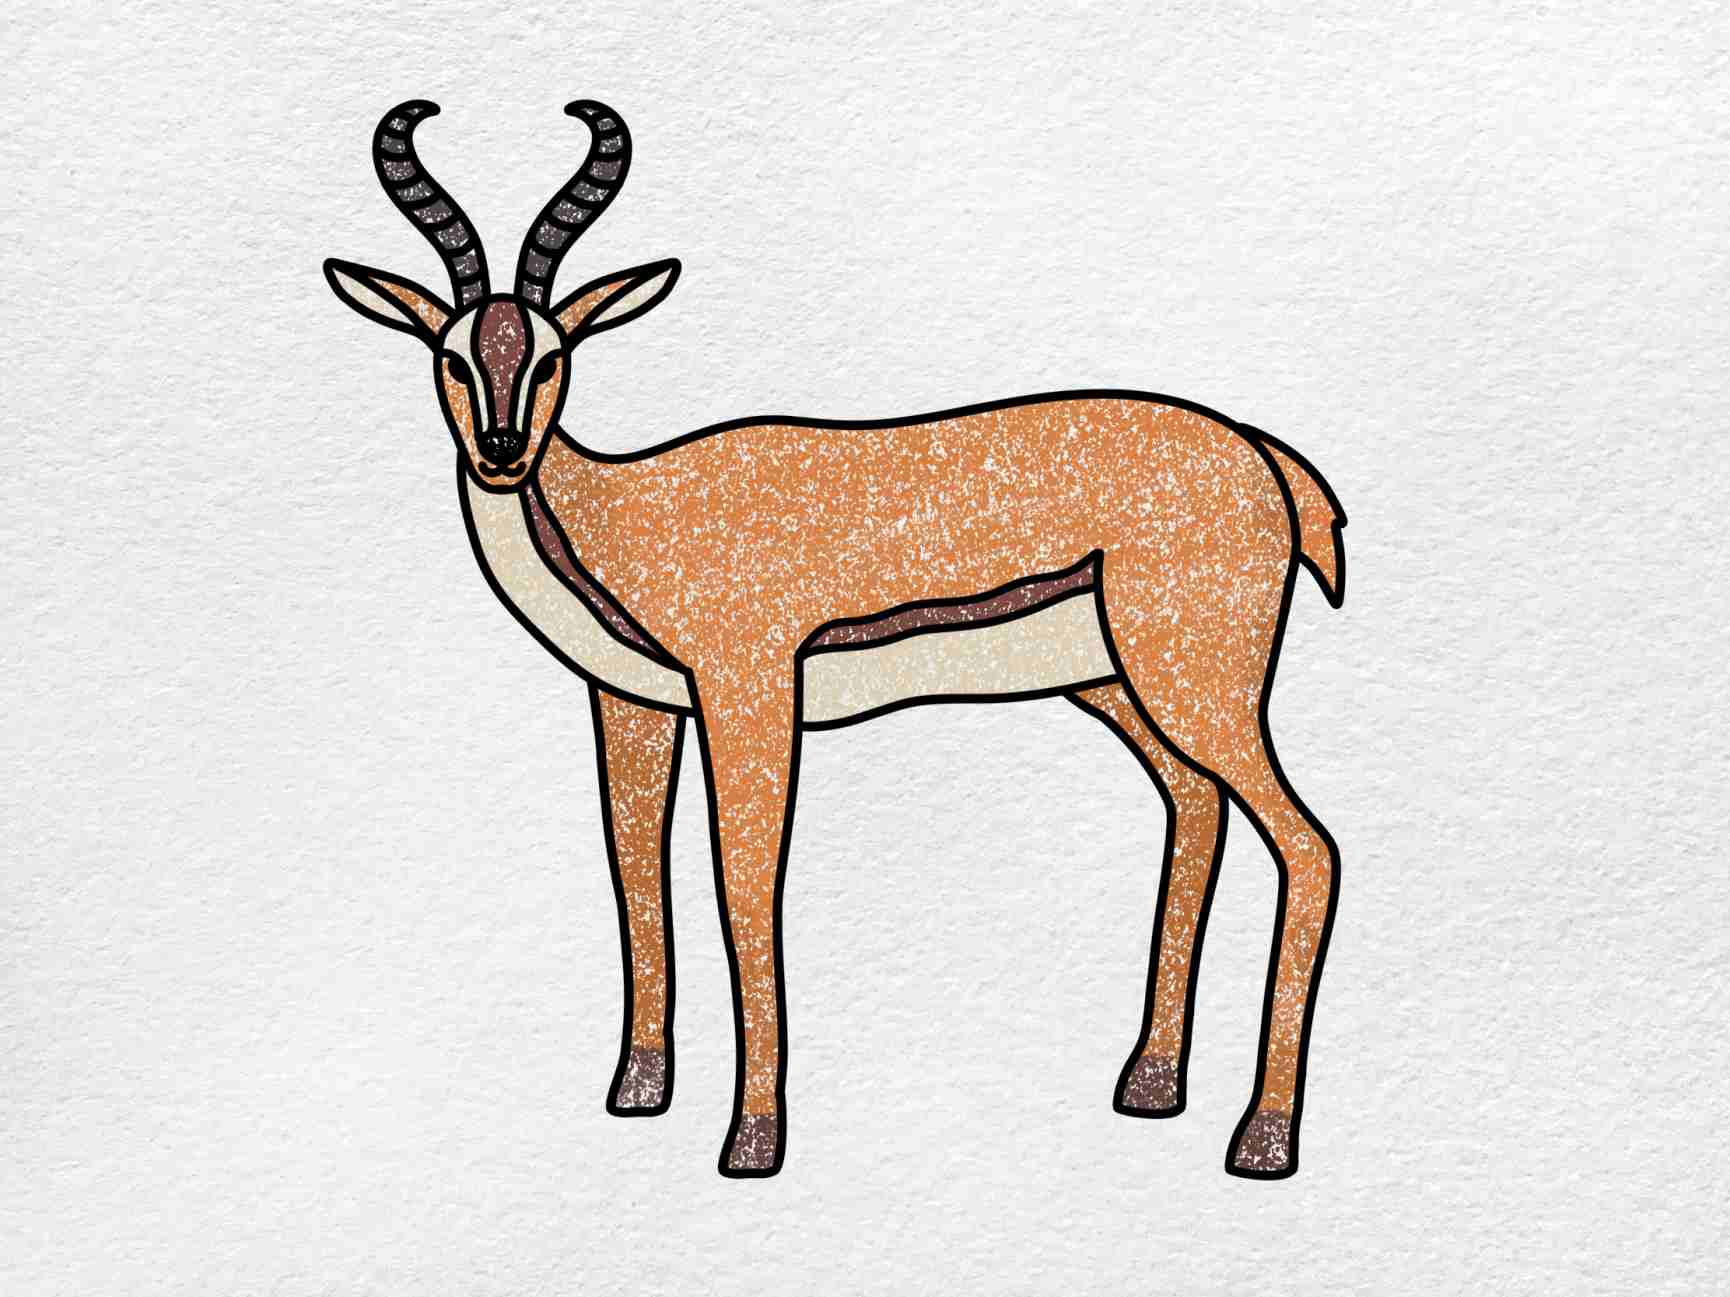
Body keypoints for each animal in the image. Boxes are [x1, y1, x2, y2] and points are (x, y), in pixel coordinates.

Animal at [323, 99, 1348, 1180]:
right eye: (451, 353)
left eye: (553, 353)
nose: (501, 450)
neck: (621, 511)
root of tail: (1262, 456)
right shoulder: (635, 704)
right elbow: (636, 871)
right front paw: (637, 1090)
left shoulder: (751, 692)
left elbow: (742, 889)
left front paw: (751, 1138)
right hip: (1123, 685)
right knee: (1198, 808)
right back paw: (1149, 1085)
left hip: (1197, 682)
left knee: (1310, 847)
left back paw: (1262, 1139)